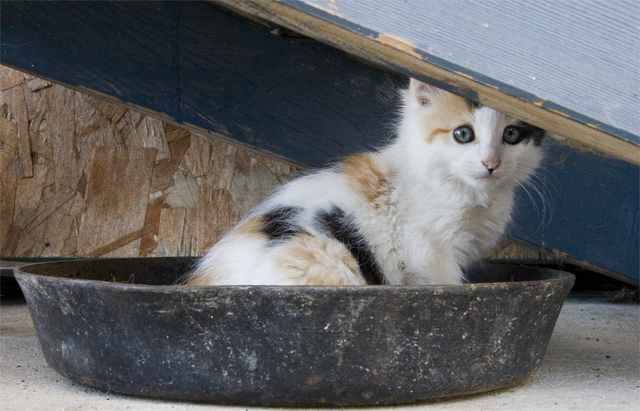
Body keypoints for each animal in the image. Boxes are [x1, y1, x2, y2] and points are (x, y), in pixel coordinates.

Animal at [186, 79, 544, 288]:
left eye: (512, 134)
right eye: (463, 134)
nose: (491, 163)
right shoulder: (428, 251)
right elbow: (444, 284)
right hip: (330, 260)